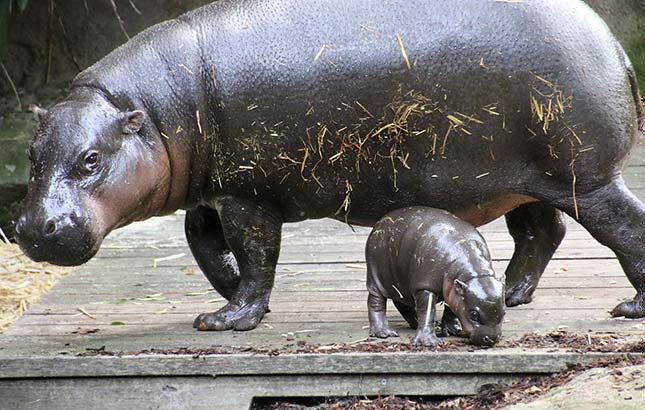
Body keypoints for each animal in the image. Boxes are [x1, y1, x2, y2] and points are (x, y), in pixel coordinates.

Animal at [13, 0, 644, 330]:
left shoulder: (247, 196)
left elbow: (257, 255)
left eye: (91, 159)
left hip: (587, 178)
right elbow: (205, 246)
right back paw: (510, 296)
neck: (150, 108)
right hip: (524, 180)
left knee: (623, 228)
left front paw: (227, 321)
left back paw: (629, 308)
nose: (31, 228)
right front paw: (229, 298)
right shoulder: (213, 193)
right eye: (32, 154)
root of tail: (612, 42)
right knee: (542, 231)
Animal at [364, 207, 506, 344]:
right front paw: (430, 342)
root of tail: (380, 222)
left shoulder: (454, 289)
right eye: (474, 314)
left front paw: (453, 330)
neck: (473, 274)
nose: (491, 339)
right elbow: (427, 312)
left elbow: (451, 308)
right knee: (375, 301)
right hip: (376, 276)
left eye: (504, 312)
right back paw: (384, 333)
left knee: (402, 303)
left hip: (401, 282)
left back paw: (419, 323)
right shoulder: (425, 286)